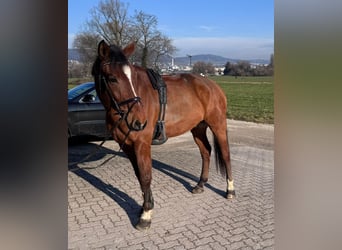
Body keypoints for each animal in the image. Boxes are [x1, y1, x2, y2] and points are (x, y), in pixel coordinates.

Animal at [91, 40, 235, 230]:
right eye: (112, 78)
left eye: (131, 78)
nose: (139, 121)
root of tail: (211, 85)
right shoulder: (127, 145)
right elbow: (139, 175)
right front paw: (146, 207)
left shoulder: (142, 144)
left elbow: (146, 176)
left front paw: (145, 215)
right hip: (197, 128)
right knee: (206, 151)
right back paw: (200, 184)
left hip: (217, 125)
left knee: (225, 154)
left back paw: (230, 190)